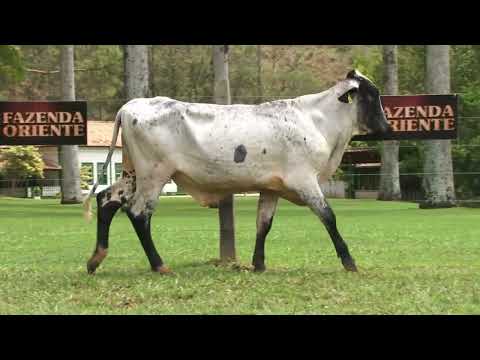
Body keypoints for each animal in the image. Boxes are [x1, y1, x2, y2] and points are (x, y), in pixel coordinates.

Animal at [82, 69, 390, 274]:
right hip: (153, 176)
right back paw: (159, 265)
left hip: (133, 173)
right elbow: (329, 217)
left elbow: (263, 224)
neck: (318, 121)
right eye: (372, 95)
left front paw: (259, 264)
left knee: (107, 200)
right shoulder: (305, 181)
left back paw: (96, 259)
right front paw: (349, 262)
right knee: (137, 213)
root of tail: (130, 106)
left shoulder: (271, 188)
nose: (387, 129)